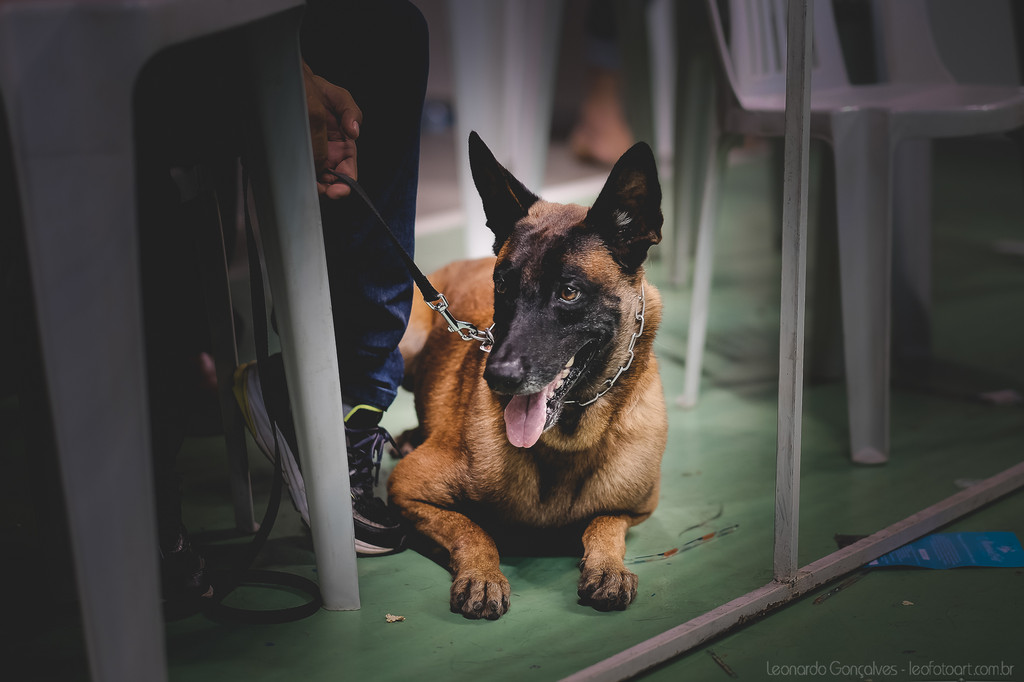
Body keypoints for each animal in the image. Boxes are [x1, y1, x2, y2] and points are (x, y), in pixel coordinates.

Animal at [387, 131, 667, 614]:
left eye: (569, 292)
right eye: (502, 286)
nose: (496, 376)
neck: (568, 441)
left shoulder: (636, 508)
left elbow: (605, 523)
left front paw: (607, 566)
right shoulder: (405, 489)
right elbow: (471, 529)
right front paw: (482, 574)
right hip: (405, 347)